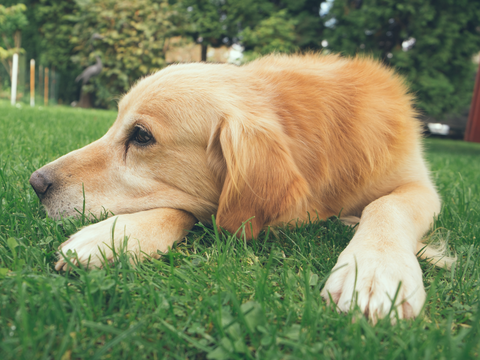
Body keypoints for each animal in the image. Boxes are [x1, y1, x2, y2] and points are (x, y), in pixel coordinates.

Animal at [30, 54, 450, 324]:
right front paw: (112, 236)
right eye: (115, 124)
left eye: (141, 136)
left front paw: (375, 270)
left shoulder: (420, 185)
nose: (36, 183)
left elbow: (387, 206)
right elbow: (185, 209)